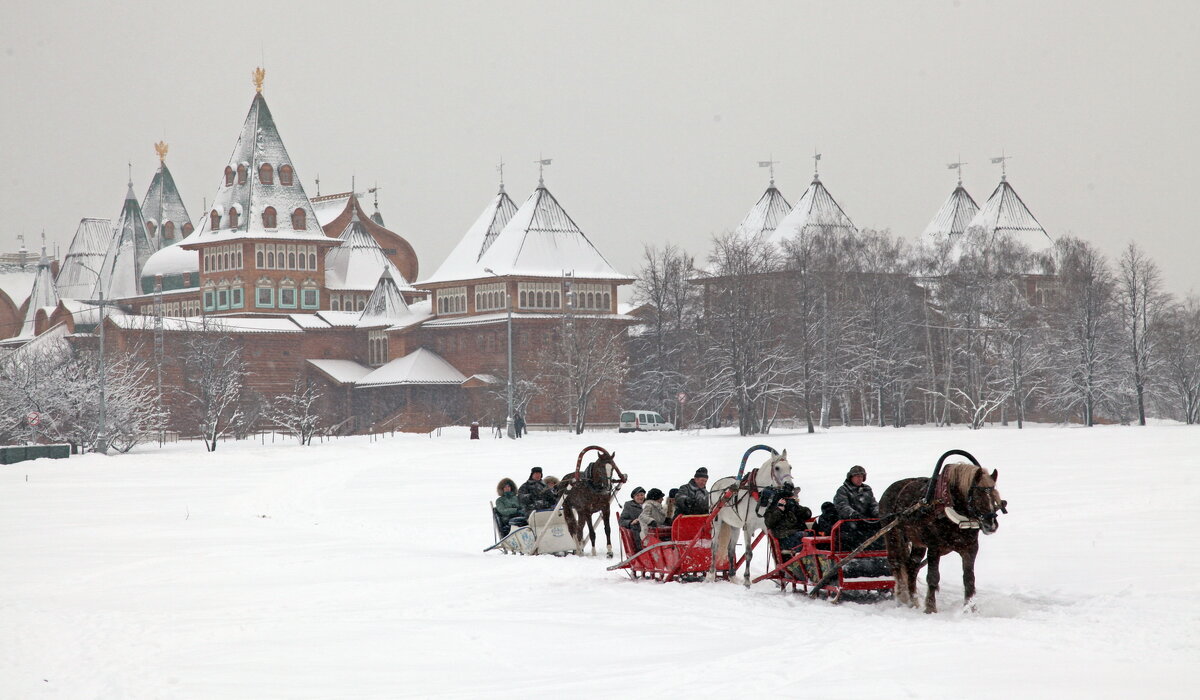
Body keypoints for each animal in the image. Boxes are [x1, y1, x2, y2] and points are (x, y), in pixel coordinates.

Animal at [705, 449, 792, 585]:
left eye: (790, 467)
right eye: (777, 468)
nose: (790, 486)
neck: (761, 496)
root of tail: (716, 484)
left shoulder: (767, 527)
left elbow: (775, 552)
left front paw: (780, 578)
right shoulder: (748, 527)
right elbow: (748, 553)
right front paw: (747, 580)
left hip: (734, 525)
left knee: (731, 549)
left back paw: (732, 577)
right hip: (716, 521)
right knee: (714, 547)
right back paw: (711, 575)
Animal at [878, 451, 1008, 609]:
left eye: (995, 496)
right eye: (978, 496)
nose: (991, 525)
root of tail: (890, 489)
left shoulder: (970, 547)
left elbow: (969, 579)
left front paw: (970, 609)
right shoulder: (934, 546)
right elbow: (933, 578)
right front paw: (930, 608)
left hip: (917, 542)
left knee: (911, 566)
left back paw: (914, 602)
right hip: (892, 535)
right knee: (896, 563)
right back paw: (902, 598)